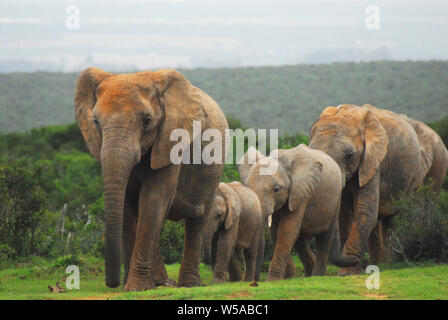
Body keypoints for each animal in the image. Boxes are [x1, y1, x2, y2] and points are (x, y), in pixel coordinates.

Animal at [75, 67, 228, 290]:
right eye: (95, 122)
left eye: (147, 120)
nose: (113, 283)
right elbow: (128, 204)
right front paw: (132, 287)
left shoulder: (170, 139)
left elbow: (153, 200)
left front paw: (137, 287)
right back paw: (163, 282)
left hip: (215, 169)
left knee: (197, 220)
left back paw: (189, 285)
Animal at [240, 145, 358, 280]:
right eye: (247, 186)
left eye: (276, 189)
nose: (254, 282)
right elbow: (276, 233)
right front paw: (288, 278)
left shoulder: (300, 191)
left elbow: (286, 231)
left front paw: (274, 280)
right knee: (301, 242)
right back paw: (307, 275)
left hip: (336, 199)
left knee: (324, 238)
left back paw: (316, 276)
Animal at [308, 104, 448, 276]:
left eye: (349, 156)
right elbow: (344, 213)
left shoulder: (373, 161)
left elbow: (365, 210)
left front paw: (347, 272)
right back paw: (379, 265)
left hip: (438, 164)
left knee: (403, 215)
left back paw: (388, 264)